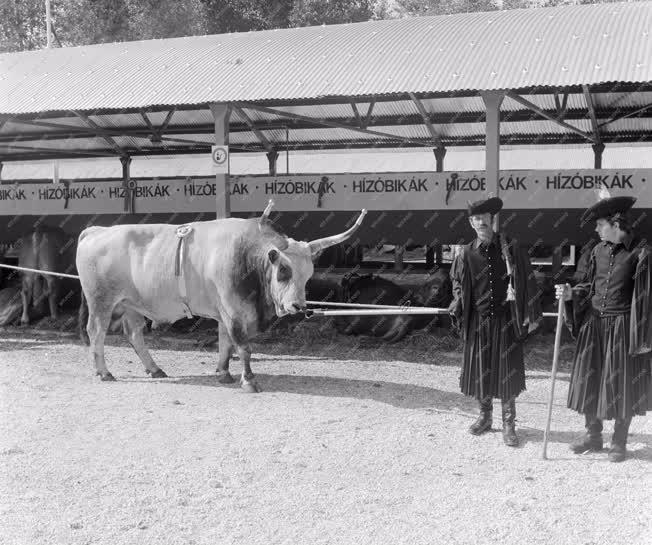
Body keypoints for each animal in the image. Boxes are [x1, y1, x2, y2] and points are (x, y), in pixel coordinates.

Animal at [76, 204, 366, 392]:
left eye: (308, 274)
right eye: (284, 270)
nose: (297, 306)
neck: (246, 257)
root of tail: (95, 231)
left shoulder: (226, 313)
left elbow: (226, 344)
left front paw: (224, 373)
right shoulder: (233, 312)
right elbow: (243, 347)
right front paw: (248, 380)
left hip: (132, 305)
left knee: (134, 334)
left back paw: (155, 369)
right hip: (101, 302)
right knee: (96, 332)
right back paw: (104, 372)